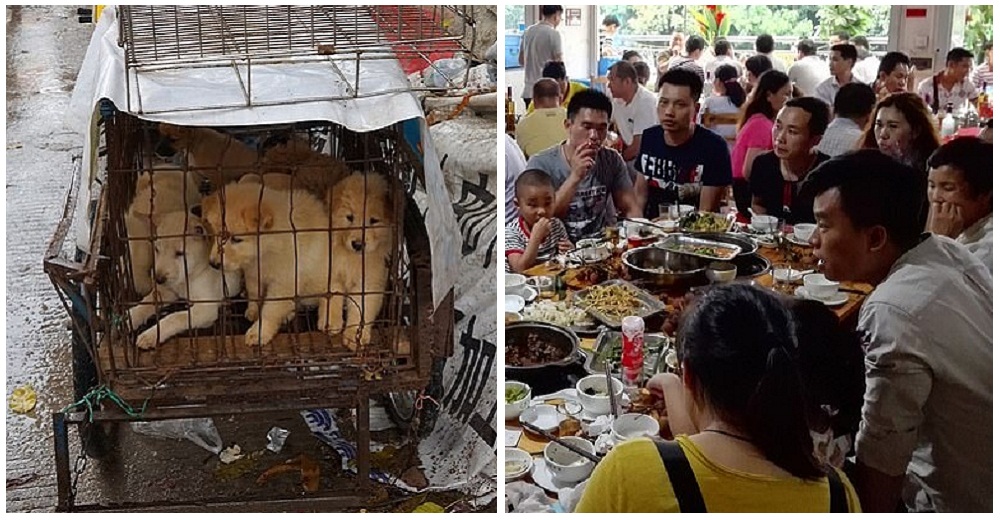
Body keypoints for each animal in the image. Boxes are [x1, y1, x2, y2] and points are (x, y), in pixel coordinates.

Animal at [127, 208, 242, 350]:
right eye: (157, 249)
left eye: (180, 253)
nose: (158, 279)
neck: (188, 278)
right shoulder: (168, 290)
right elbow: (148, 301)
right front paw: (131, 316)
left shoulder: (206, 308)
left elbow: (175, 317)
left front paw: (151, 335)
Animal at [202, 181, 336, 348]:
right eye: (216, 234)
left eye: (237, 239)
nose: (213, 264)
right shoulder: (253, 274)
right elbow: (255, 294)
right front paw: (253, 310)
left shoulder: (283, 284)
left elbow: (270, 311)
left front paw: (258, 333)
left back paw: (329, 320)